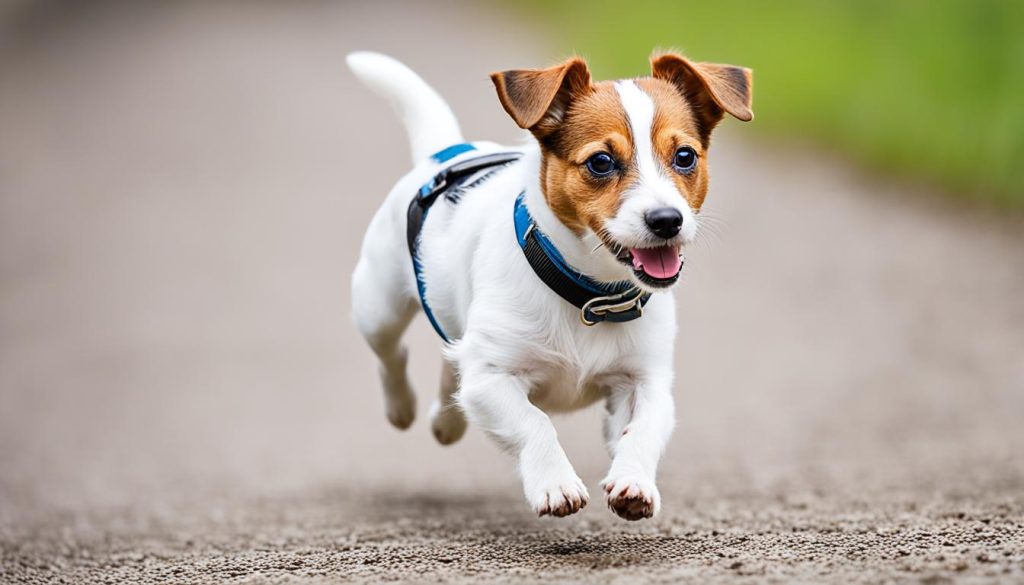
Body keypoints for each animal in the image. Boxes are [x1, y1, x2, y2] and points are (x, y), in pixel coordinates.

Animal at [346, 49, 753, 516]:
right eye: (600, 162)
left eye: (685, 156)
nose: (667, 220)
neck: (588, 296)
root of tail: (446, 153)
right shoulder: (492, 378)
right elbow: (533, 421)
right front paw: (555, 483)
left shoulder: (644, 379)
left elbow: (645, 427)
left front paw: (634, 480)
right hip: (379, 308)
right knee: (393, 355)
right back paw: (402, 406)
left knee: (453, 365)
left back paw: (446, 420)